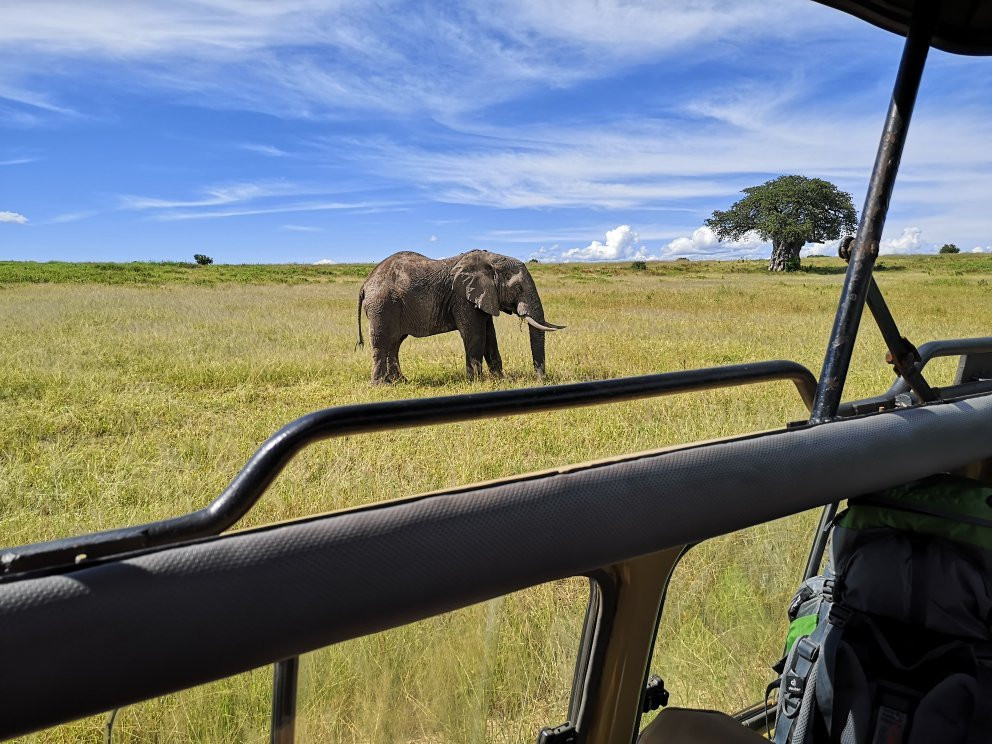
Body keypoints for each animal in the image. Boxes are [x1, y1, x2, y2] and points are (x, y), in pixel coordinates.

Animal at [356, 253, 560, 386]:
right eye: (518, 288)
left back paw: (399, 381)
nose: (541, 380)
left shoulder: (483, 297)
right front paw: (476, 383)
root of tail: (365, 283)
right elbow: (475, 335)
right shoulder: (463, 298)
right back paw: (381, 385)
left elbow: (490, 336)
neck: (490, 260)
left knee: (394, 343)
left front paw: (500, 380)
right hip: (382, 306)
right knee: (382, 342)